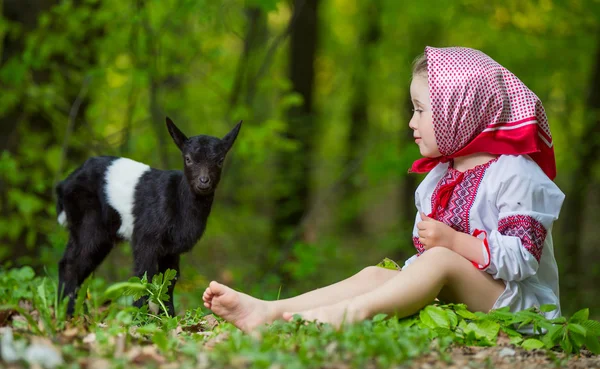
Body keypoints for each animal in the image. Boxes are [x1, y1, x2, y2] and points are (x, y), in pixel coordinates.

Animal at [54, 117, 241, 314]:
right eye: (188, 159)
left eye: (220, 160)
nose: (204, 181)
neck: (178, 201)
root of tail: (63, 185)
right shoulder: (145, 238)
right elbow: (143, 278)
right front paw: (141, 316)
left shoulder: (171, 249)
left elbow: (170, 280)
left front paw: (169, 316)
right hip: (88, 221)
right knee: (72, 263)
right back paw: (69, 312)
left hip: (95, 232)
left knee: (78, 265)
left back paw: (75, 311)